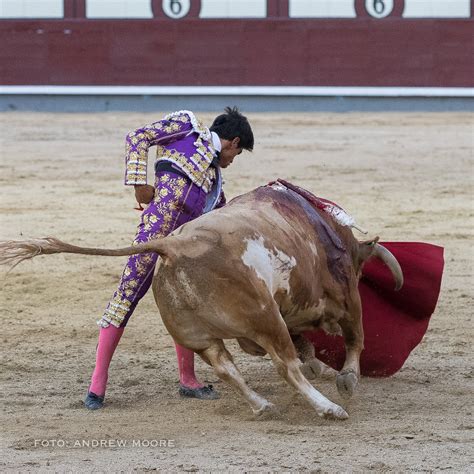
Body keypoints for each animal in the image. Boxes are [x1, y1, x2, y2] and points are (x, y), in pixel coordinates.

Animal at [0, 180, 402, 420]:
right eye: (361, 271)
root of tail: (172, 245)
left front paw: (317, 363)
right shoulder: (345, 297)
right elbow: (355, 338)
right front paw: (346, 380)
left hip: (198, 335)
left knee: (225, 367)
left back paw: (261, 405)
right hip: (265, 318)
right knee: (284, 366)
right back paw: (329, 408)